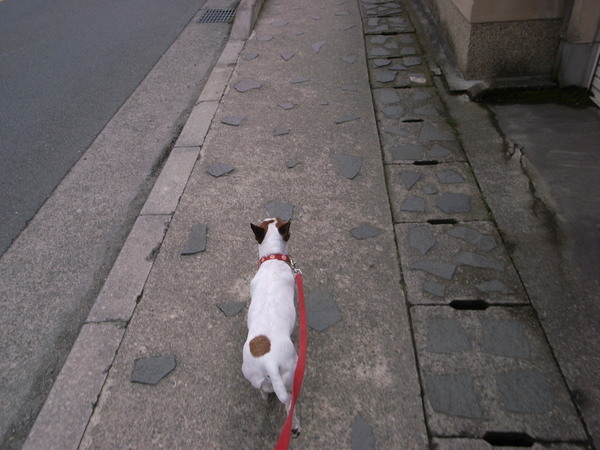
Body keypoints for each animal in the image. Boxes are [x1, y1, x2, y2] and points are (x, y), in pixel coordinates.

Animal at [242, 218, 300, 436]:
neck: (272, 259)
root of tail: (269, 362)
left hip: (252, 375)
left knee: (264, 391)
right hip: (292, 371)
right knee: (289, 402)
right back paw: (294, 425)